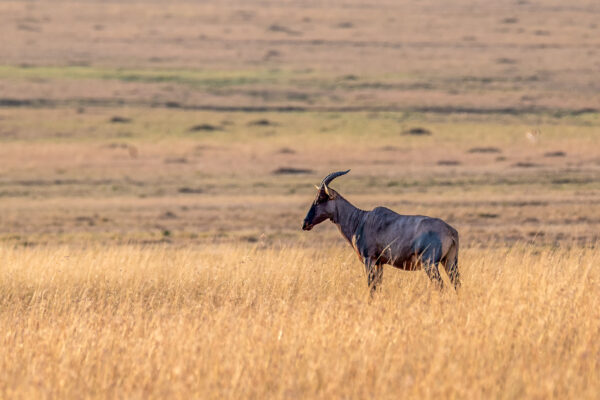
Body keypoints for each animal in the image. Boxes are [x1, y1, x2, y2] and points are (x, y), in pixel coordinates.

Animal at [302, 170, 462, 294]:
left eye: (321, 198)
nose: (305, 224)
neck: (361, 220)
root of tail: (450, 231)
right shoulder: (380, 263)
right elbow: (378, 287)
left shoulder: (369, 259)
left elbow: (371, 287)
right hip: (449, 262)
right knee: (457, 285)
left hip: (430, 264)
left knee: (441, 286)